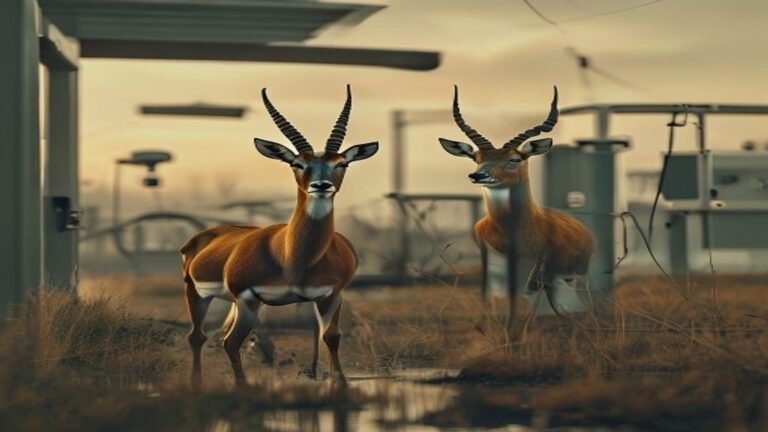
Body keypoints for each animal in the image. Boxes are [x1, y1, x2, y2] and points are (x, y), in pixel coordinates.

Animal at [181, 85, 378, 387]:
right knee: (201, 337)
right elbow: (232, 343)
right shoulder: (249, 297)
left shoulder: (331, 295)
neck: (293, 259)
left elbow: (331, 337)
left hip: (234, 303)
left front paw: (339, 382)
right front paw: (242, 386)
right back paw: (198, 382)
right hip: (200, 294)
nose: (321, 186)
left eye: (342, 163)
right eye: (296, 163)